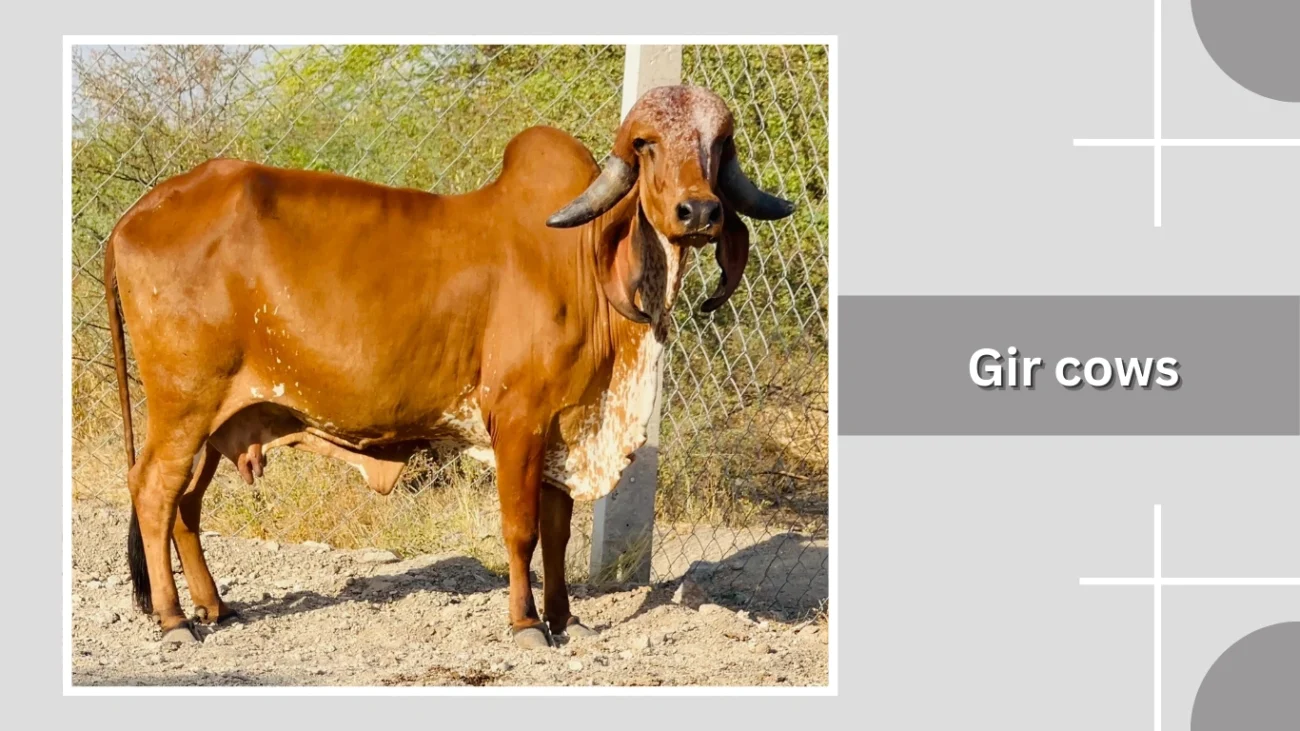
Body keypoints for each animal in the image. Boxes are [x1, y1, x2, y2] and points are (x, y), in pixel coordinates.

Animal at [102, 84, 795, 649]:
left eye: (719, 145)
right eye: (647, 146)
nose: (698, 213)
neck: (588, 262)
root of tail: (134, 215)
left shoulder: (562, 428)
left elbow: (558, 533)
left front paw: (566, 619)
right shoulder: (517, 418)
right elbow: (520, 530)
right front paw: (525, 624)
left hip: (221, 420)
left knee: (184, 507)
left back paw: (214, 607)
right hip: (183, 405)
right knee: (153, 491)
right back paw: (174, 620)